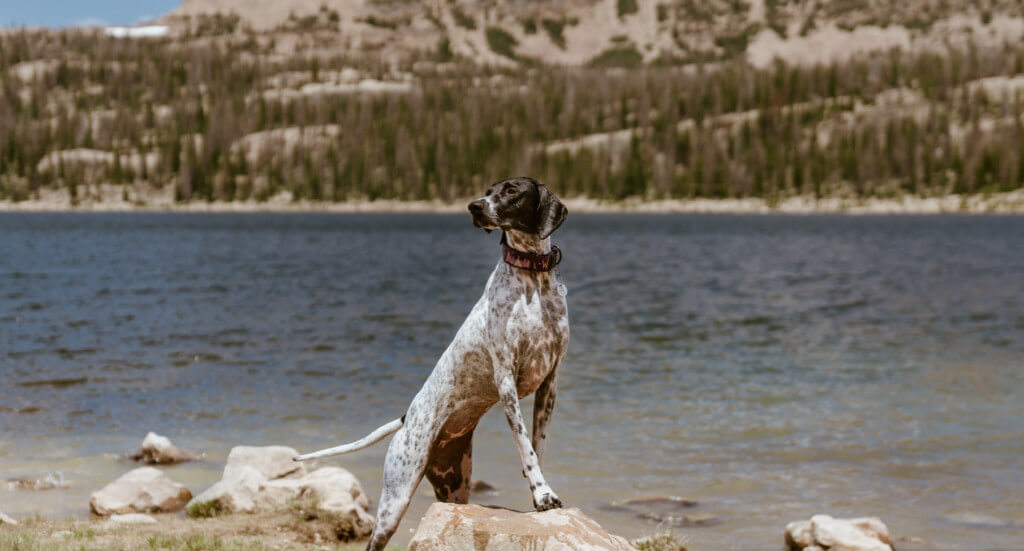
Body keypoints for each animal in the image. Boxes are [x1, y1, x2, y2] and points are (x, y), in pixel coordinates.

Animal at [294, 177, 569, 548]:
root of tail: (406, 419)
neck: (532, 284)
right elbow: (525, 446)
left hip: (455, 492)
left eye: (512, 191)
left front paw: (540, 494)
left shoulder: (549, 383)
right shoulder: (507, 382)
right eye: (489, 190)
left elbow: (537, 447)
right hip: (394, 501)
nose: (474, 206)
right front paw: (543, 495)